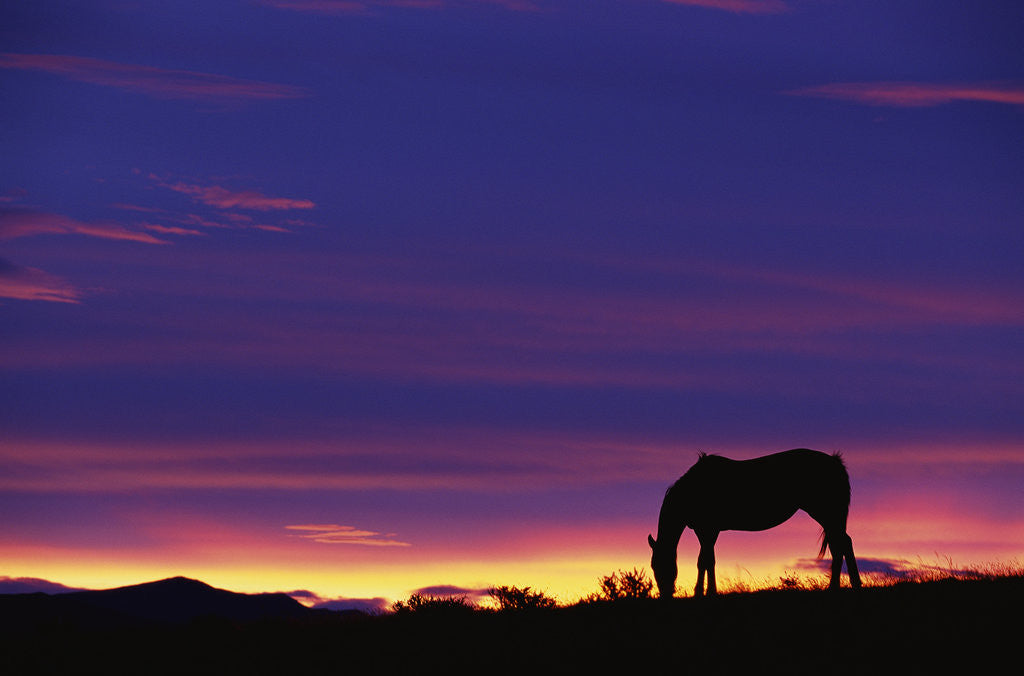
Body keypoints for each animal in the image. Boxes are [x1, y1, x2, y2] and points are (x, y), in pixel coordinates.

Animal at [648, 448, 861, 597]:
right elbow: (707, 561)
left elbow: (705, 561)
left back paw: (844, 586)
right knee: (840, 545)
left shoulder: (708, 530)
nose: (665, 594)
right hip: (829, 517)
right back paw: (843, 586)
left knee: (842, 544)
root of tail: (834, 461)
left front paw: (703, 592)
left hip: (825, 513)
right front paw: (706, 591)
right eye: (653, 567)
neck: (692, 489)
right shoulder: (706, 532)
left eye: (660, 565)